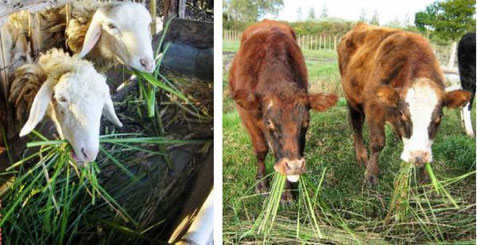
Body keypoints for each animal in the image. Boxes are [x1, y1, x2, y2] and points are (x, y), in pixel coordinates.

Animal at [229, 19, 336, 201]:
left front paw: (286, 191)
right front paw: (261, 183)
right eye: (268, 121)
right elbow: (261, 150)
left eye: (306, 120)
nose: (294, 166)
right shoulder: (247, 117)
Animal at [338, 23, 468, 186]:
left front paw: (425, 175)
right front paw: (371, 173)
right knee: (357, 126)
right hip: (351, 99)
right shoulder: (374, 110)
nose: (418, 156)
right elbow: (377, 143)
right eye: (402, 114)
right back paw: (361, 155)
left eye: (439, 117)